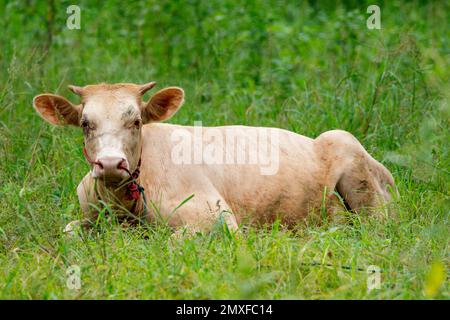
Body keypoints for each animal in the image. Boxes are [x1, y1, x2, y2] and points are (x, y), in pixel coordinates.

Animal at [32, 81, 398, 234]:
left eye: (135, 121)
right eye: (85, 123)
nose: (110, 164)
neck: (124, 203)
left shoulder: (216, 217)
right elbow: (68, 230)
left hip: (352, 159)